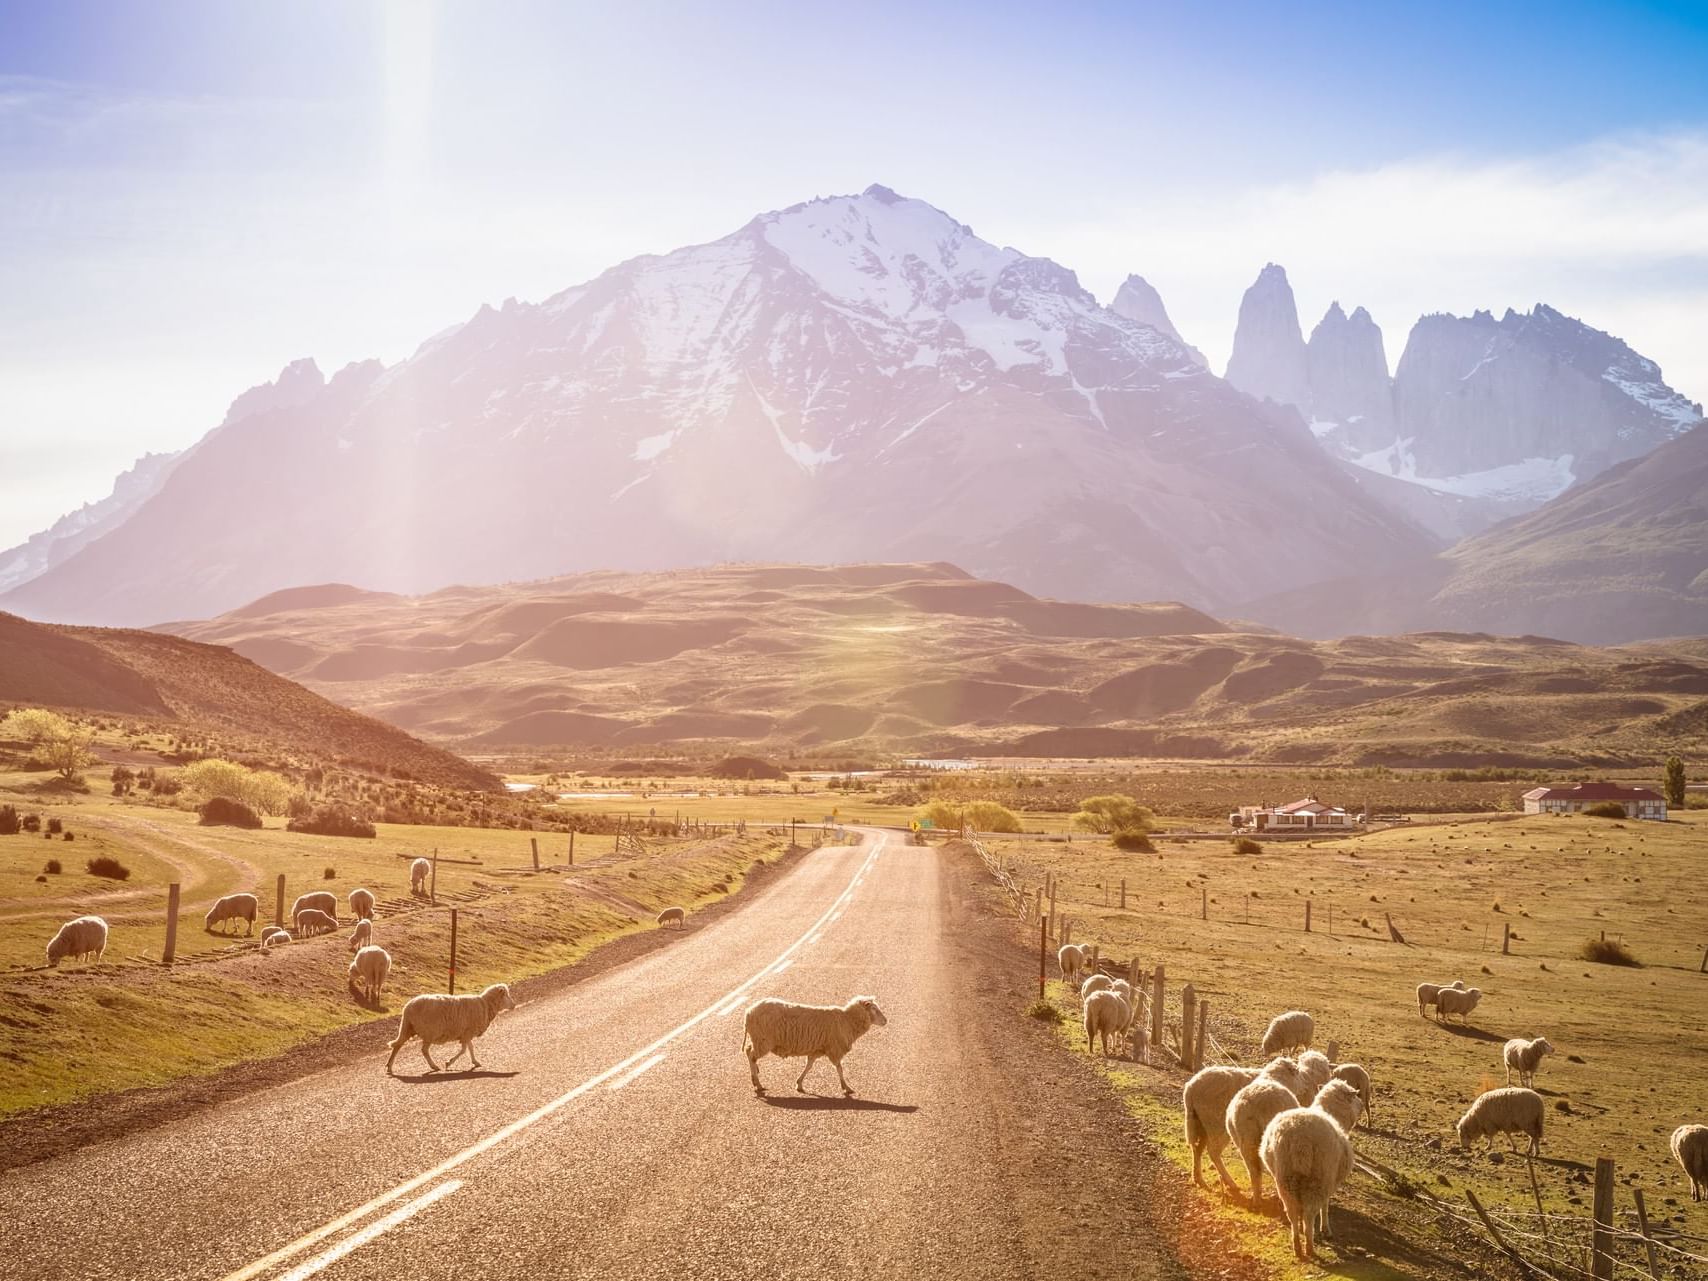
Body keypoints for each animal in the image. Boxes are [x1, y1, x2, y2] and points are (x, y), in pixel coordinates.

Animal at [741, 997, 888, 1099]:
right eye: (874, 1009)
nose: (886, 1021)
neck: (847, 1020)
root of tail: (748, 1012)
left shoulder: (817, 1050)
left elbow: (809, 1066)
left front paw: (799, 1084)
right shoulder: (834, 1048)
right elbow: (840, 1069)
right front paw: (846, 1087)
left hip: (758, 1040)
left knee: (749, 1051)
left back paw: (755, 1077)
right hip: (763, 1040)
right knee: (751, 1055)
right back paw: (757, 1083)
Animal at [1181, 1065, 1263, 1195]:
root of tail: (1190, 1088)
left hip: (1201, 1123)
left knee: (1197, 1149)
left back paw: (1199, 1179)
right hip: (1218, 1124)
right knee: (1213, 1151)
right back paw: (1230, 1183)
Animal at [1257, 1079, 1359, 1257]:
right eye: (1352, 1098)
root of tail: (1300, 1139)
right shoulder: (1330, 1181)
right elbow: (1325, 1206)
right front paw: (1325, 1230)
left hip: (1285, 1177)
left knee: (1293, 1211)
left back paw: (1297, 1243)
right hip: (1317, 1178)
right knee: (1310, 1212)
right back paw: (1309, 1246)